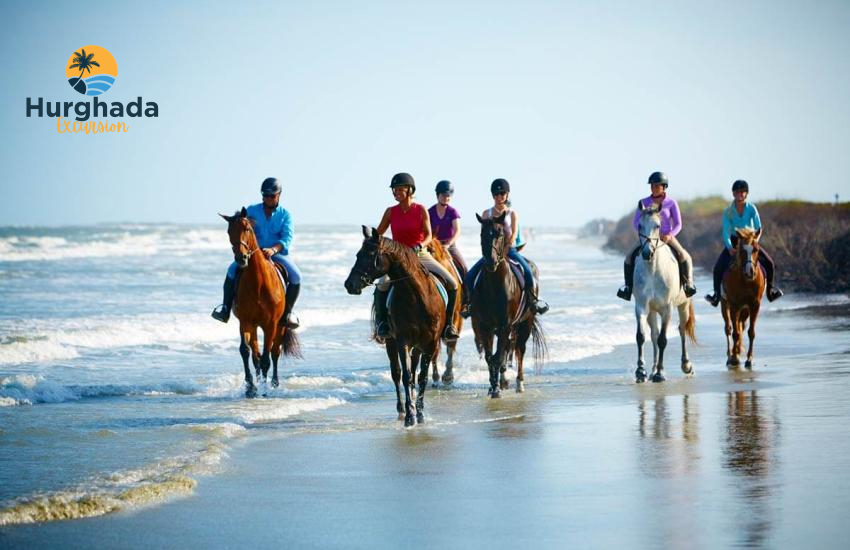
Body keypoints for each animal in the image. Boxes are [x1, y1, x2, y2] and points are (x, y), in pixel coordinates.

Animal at [221, 208, 301, 397]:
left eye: (247, 229)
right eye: (229, 232)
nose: (241, 259)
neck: (258, 282)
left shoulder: (270, 324)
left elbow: (267, 358)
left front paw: (264, 389)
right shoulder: (245, 322)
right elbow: (246, 351)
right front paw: (250, 387)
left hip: (279, 326)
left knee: (274, 353)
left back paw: (274, 383)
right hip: (254, 326)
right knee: (256, 355)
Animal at [344, 226, 457, 426]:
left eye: (370, 254)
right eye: (358, 254)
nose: (349, 284)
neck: (416, 296)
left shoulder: (430, 343)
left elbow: (422, 377)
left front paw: (420, 413)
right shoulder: (402, 340)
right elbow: (405, 375)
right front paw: (411, 415)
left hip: (418, 345)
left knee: (414, 370)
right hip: (391, 342)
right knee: (396, 373)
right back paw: (402, 410)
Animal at [470, 212, 546, 398]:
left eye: (500, 234)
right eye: (482, 234)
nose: (491, 262)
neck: (494, 284)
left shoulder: (505, 325)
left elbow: (499, 356)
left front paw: (497, 388)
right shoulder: (485, 326)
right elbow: (491, 357)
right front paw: (493, 386)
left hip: (525, 323)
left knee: (519, 350)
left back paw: (519, 383)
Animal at [632, 204, 696, 383]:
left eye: (658, 226)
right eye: (639, 226)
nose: (647, 253)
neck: (653, 270)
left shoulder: (667, 309)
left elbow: (663, 340)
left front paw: (660, 374)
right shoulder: (641, 307)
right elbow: (641, 336)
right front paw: (641, 371)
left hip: (683, 305)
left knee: (681, 329)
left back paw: (686, 365)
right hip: (652, 311)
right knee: (653, 334)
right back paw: (652, 369)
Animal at [721, 228, 766, 368]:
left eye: (756, 249)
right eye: (742, 251)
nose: (750, 272)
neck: (746, 281)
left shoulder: (754, 305)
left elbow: (751, 332)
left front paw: (749, 359)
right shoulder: (734, 305)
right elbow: (735, 333)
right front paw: (735, 358)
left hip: (745, 310)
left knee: (741, 327)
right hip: (725, 305)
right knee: (728, 329)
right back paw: (730, 356)